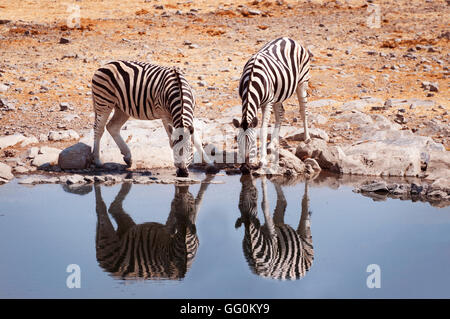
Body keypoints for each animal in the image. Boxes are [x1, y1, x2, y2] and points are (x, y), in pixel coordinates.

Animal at [234, 37, 312, 174]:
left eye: (253, 142)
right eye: (238, 142)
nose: (245, 169)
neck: (251, 81)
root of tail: (288, 38)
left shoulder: (267, 102)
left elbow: (263, 129)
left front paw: (262, 160)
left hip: (302, 82)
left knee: (303, 110)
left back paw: (306, 138)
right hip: (279, 93)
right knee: (280, 114)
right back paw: (271, 144)